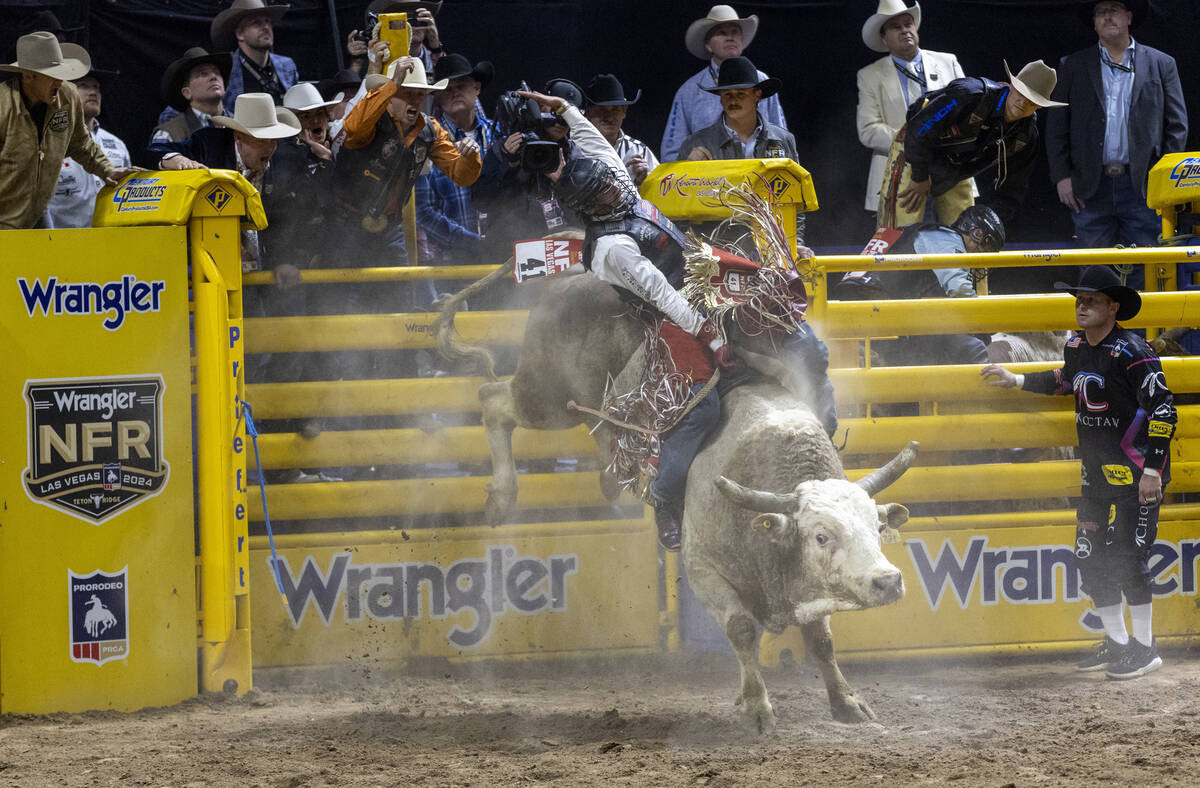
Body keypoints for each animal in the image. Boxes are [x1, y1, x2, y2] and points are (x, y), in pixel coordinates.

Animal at [439, 247, 916, 729]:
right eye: (821, 535)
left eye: (876, 528)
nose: (888, 580)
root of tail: (574, 275)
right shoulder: (704, 569)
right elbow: (742, 629)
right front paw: (756, 706)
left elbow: (821, 639)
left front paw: (846, 701)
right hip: (548, 394)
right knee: (493, 400)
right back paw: (502, 498)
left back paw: (609, 483)